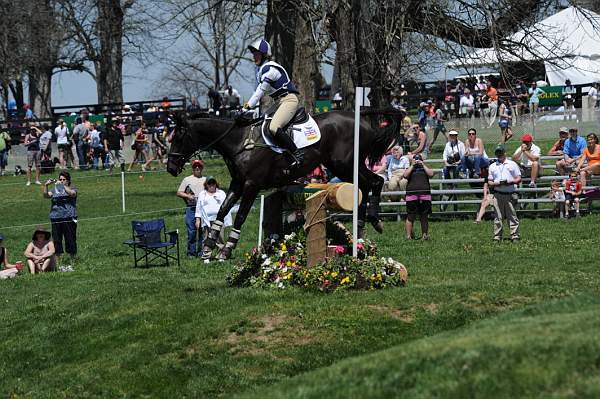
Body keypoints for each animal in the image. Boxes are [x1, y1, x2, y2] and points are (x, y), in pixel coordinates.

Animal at [166, 110, 404, 260]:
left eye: (178, 137)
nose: (170, 168)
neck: (239, 142)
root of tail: (361, 119)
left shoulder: (251, 185)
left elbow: (240, 215)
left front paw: (226, 250)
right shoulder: (238, 183)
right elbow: (222, 211)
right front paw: (208, 248)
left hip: (344, 164)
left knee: (375, 181)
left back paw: (374, 221)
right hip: (342, 166)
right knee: (366, 185)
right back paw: (361, 229)